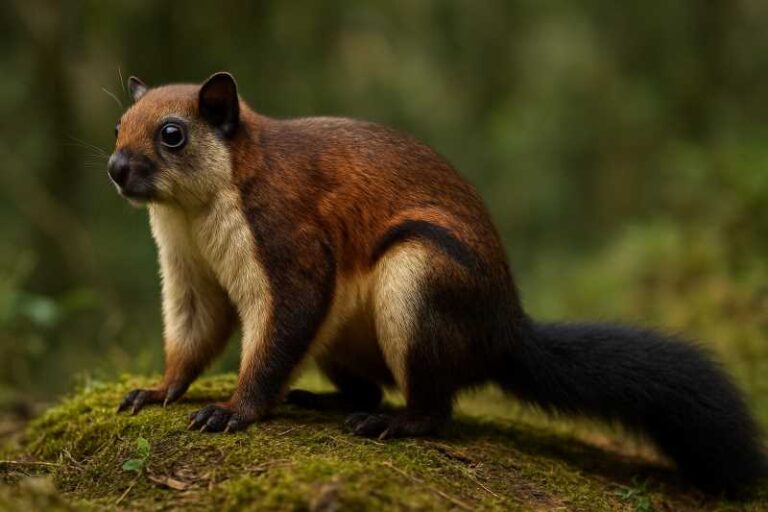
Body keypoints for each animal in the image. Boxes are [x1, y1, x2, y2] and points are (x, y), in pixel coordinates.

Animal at [109, 72, 764, 495]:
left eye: (173, 134)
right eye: (118, 125)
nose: (116, 169)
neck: (193, 211)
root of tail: (503, 334)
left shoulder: (287, 236)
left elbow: (280, 326)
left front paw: (234, 410)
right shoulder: (188, 270)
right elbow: (194, 331)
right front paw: (159, 390)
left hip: (418, 284)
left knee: (436, 407)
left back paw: (395, 424)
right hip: (343, 338)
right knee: (370, 387)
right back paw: (325, 400)